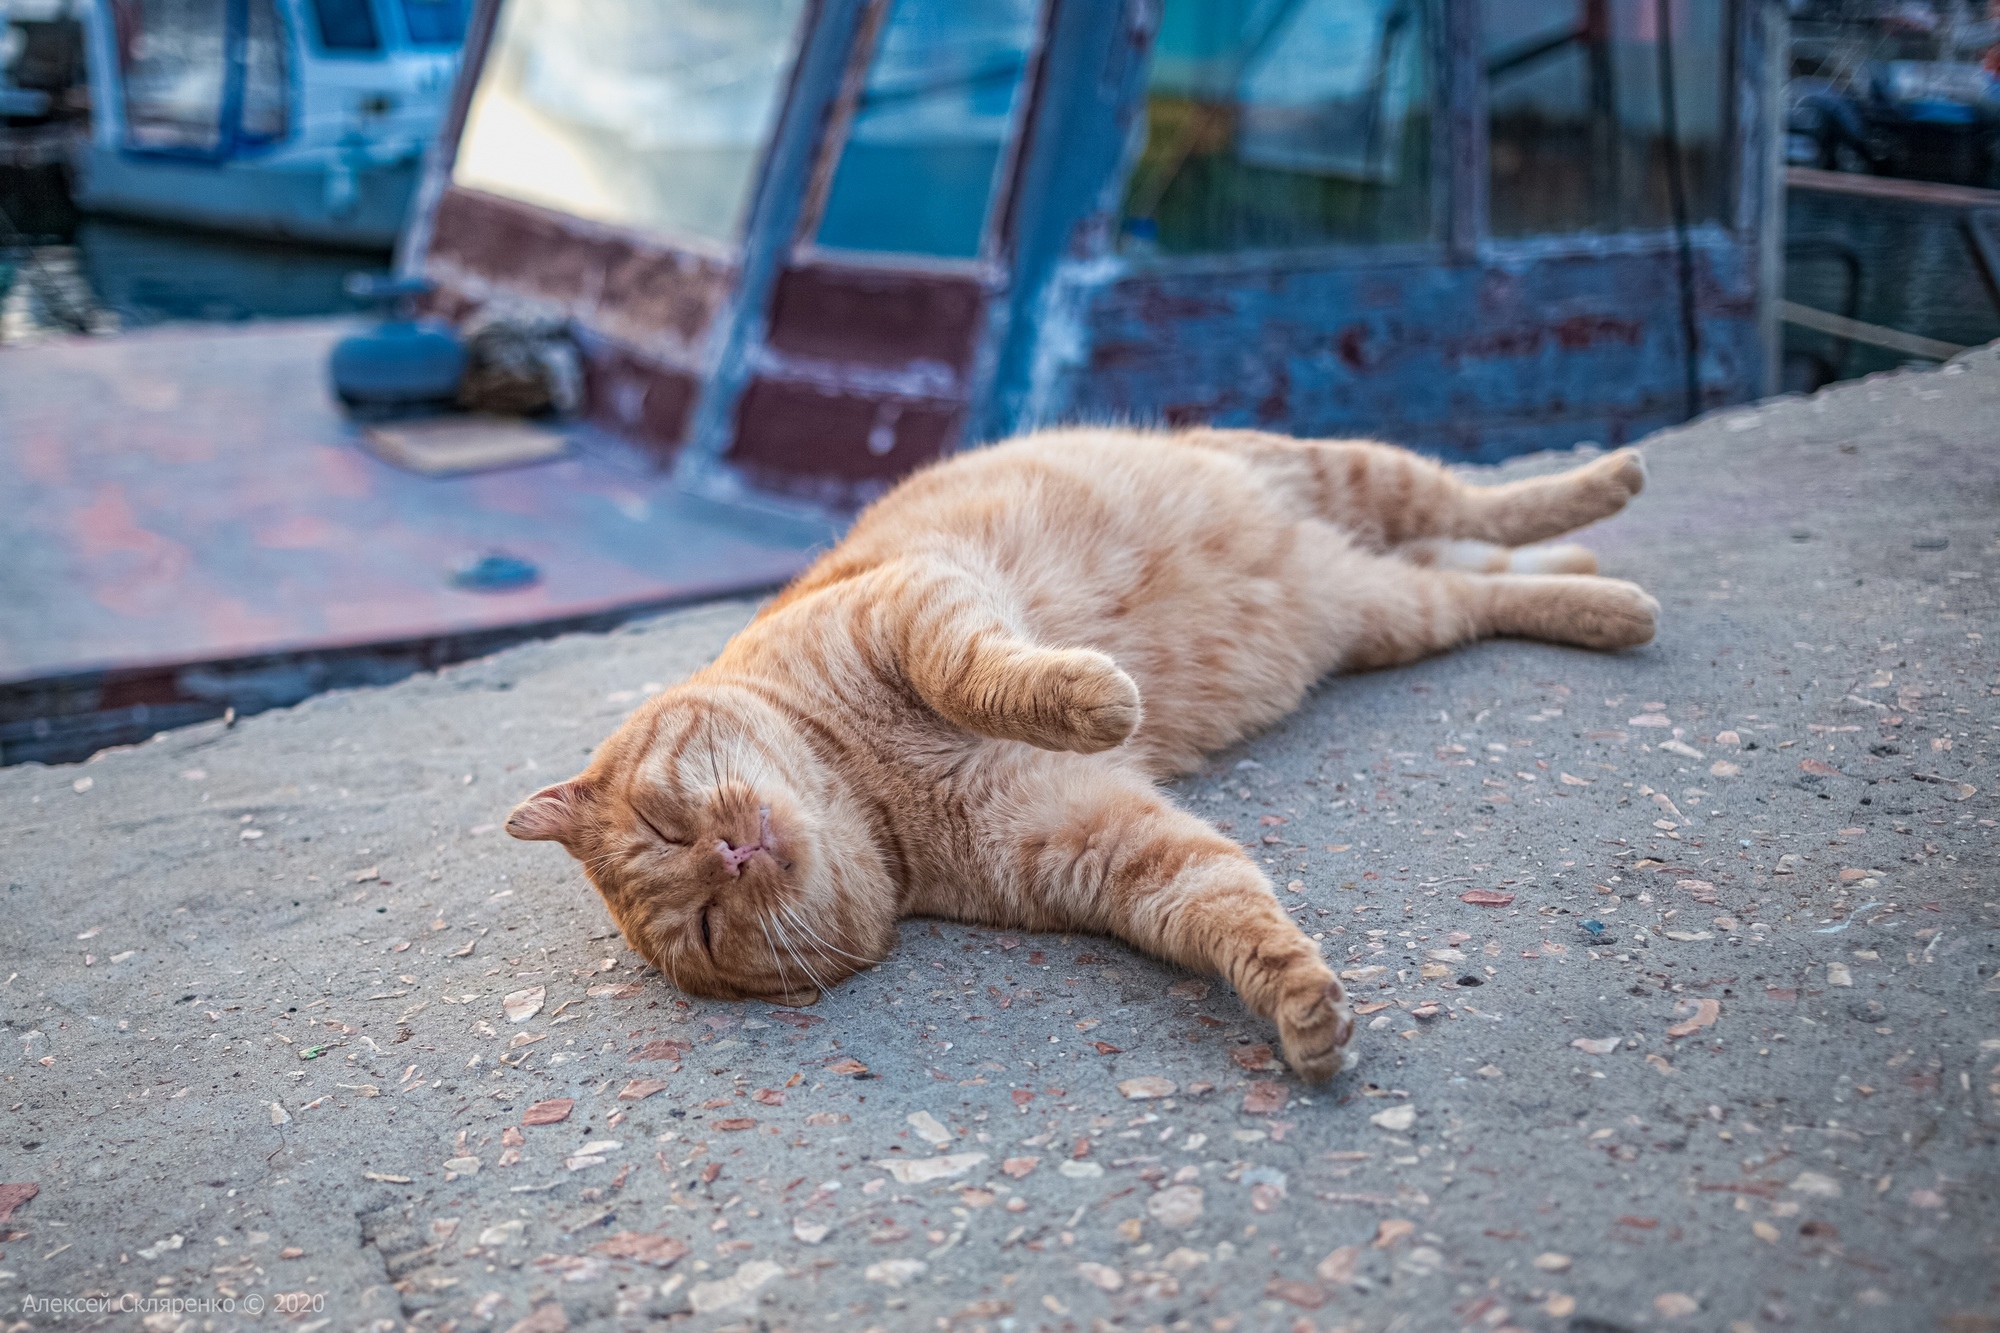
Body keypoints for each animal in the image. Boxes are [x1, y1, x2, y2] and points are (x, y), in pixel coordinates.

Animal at [508, 428, 1648, 1080]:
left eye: (665, 819)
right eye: (705, 924)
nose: (730, 853)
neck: (878, 792)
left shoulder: (920, 604)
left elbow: (981, 672)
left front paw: (1097, 695)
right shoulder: (1108, 847)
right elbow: (1226, 909)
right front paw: (1297, 1007)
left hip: (1352, 474)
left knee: (1480, 503)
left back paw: (1610, 493)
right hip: (1388, 611)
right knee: (1476, 578)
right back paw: (1601, 595)